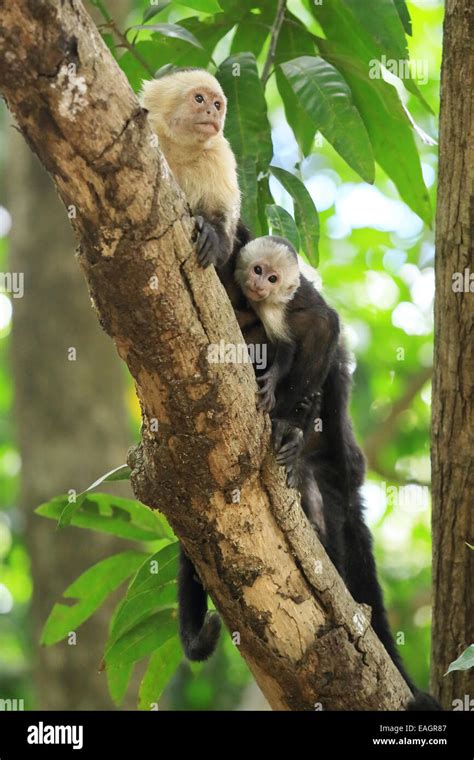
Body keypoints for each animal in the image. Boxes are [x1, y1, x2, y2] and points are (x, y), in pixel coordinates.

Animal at [139, 68, 239, 270]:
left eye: (217, 104)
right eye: (199, 98)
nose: (212, 112)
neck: (180, 150)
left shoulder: (220, 156)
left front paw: (211, 236)